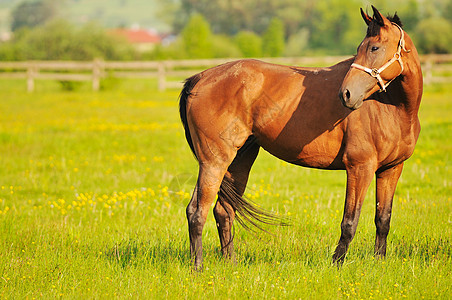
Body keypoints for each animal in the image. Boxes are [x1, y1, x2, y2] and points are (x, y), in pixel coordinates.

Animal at [178, 6, 422, 270]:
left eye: (374, 48)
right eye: (361, 48)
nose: (346, 94)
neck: (392, 107)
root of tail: (199, 79)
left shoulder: (391, 169)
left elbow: (383, 219)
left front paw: (379, 262)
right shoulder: (360, 168)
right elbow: (350, 222)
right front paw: (336, 264)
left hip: (238, 161)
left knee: (223, 211)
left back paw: (230, 263)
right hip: (214, 162)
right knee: (197, 211)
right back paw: (198, 267)